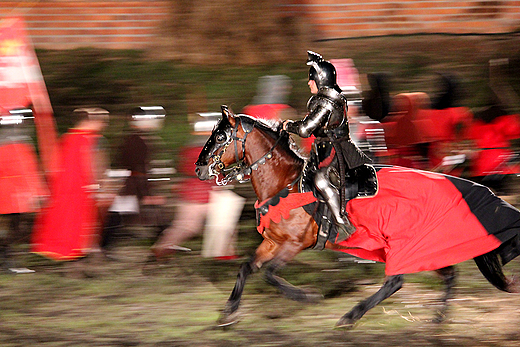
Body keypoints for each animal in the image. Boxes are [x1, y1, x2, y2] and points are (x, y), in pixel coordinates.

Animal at [195, 106, 520, 328]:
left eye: (221, 136)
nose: (200, 169)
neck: (285, 184)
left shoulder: (293, 245)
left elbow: (270, 275)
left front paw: (308, 297)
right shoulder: (273, 243)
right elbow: (246, 269)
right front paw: (228, 313)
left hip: (405, 244)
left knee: (396, 281)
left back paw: (350, 317)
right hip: (424, 246)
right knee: (445, 275)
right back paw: (437, 319)